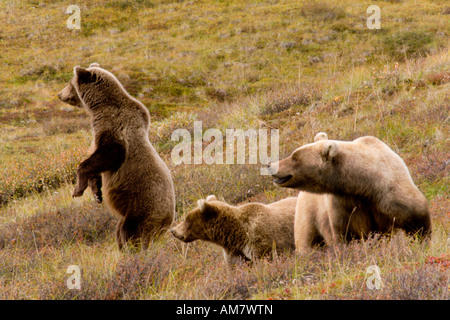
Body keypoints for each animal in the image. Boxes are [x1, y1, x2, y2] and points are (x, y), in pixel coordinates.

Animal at [56, 63, 176, 250]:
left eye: (69, 83)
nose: (59, 94)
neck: (99, 107)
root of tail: (168, 222)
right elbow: (96, 163)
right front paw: (97, 193)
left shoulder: (114, 126)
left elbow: (111, 153)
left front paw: (77, 189)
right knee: (120, 231)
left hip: (143, 208)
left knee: (131, 232)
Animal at [268, 132, 430, 252]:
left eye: (295, 157)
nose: (270, 165)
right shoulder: (345, 205)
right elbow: (346, 234)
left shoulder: (391, 196)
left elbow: (417, 220)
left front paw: (422, 242)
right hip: (308, 214)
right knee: (306, 240)